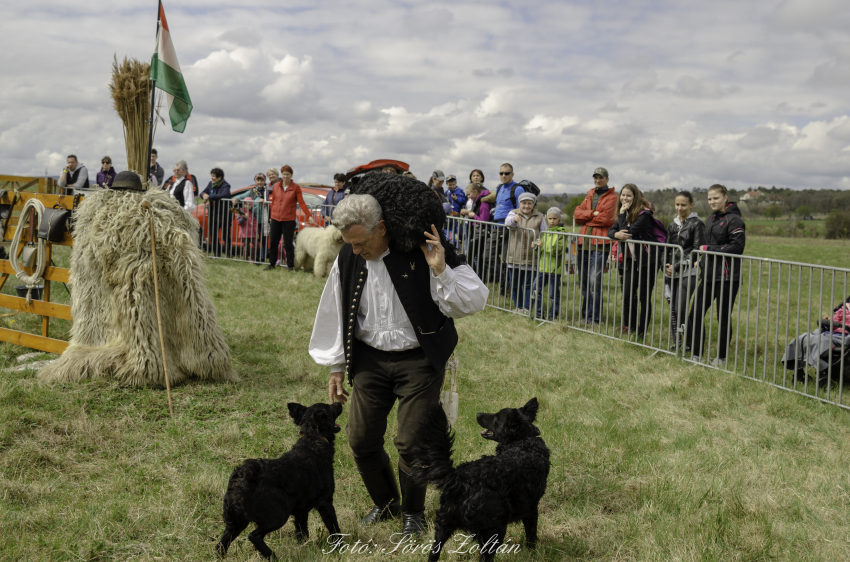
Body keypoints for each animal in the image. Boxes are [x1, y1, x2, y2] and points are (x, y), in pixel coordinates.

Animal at [215, 400, 342, 556]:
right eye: (330, 407)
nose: (339, 402)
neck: (313, 440)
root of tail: (242, 476)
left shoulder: (301, 511)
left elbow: (302, 533)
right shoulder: (325, 503)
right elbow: (335, 529)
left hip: (235, 523)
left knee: (220, 546)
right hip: (278, 516)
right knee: (254, 536)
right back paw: (272, 556)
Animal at [412, 396, 548, 556]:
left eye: (496, 417)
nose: (477, 414)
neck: (522, 442)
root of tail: (459, 476)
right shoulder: (531, 510)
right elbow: (531, 537)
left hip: (443, 526)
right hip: (494, 530)